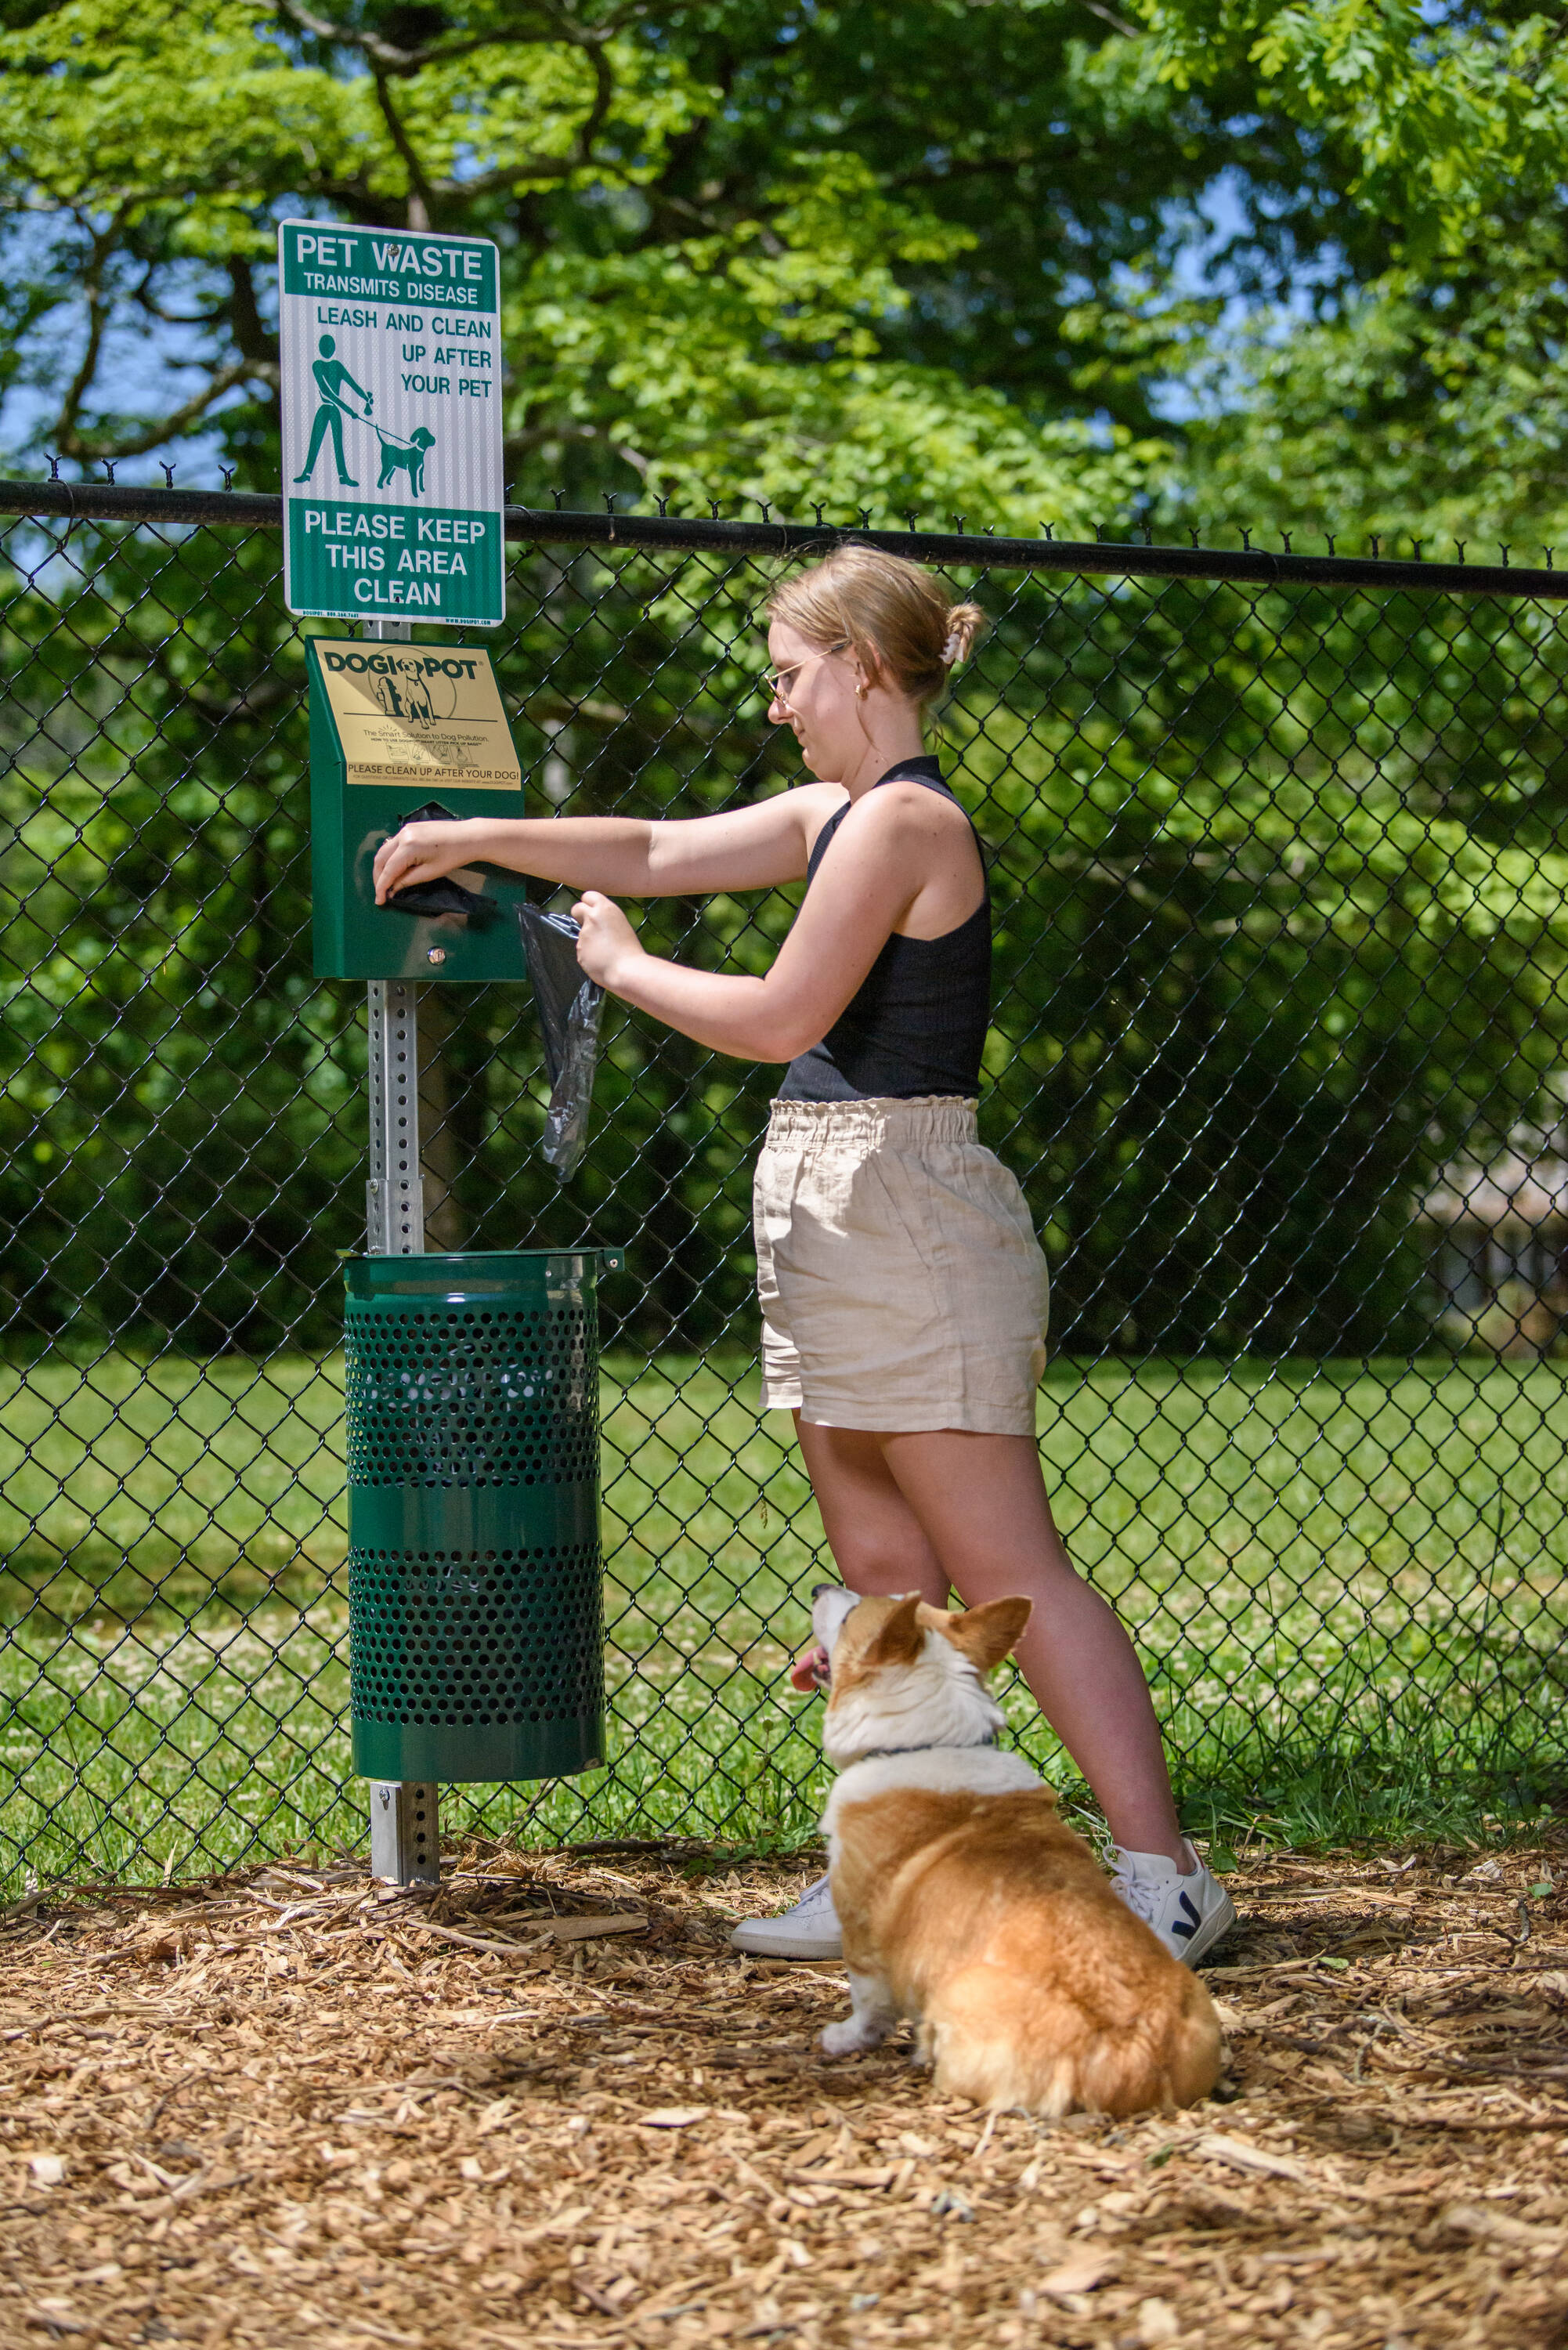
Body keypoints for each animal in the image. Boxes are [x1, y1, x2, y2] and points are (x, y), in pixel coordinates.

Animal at [808, 1589, 1222, 2124]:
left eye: (850, 1615)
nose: (817, 1590)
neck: (927, 1740)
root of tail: (1135, 2055)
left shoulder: (861, 1931)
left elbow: (867, 2001)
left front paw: (844, 2039)